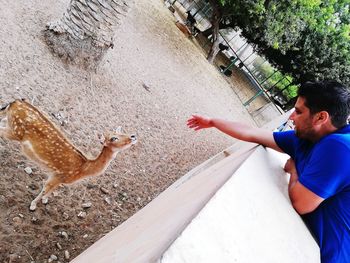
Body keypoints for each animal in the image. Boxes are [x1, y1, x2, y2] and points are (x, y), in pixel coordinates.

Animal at [0, 100, 137, 211]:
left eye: (123, 132)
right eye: (113, 138)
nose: (133, 136)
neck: (82, 169)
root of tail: (15, 102)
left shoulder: (59, 178)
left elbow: (51, 190)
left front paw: (45, 200)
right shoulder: (58, 175)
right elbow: (45, 188)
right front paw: (33, 205)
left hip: (10, 124)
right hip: (15, 131)